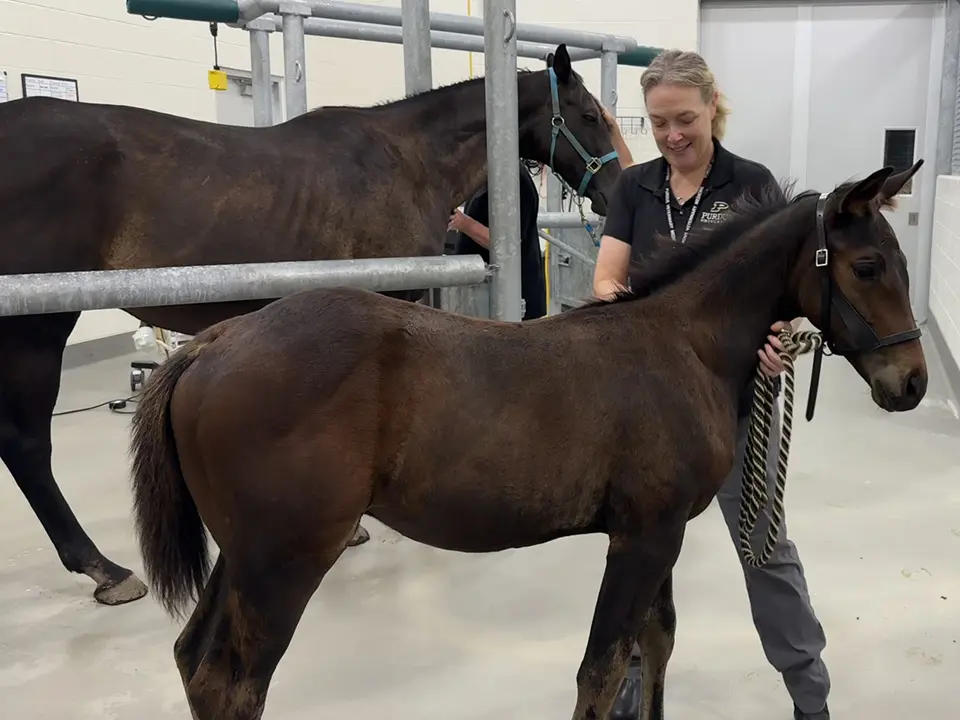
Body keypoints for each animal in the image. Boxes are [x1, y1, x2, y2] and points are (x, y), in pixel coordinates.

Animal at [0, 44, 621, 606]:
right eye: (590, 117)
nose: (614, 191)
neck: (409, 160)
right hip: (38, 325)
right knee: (27, 444)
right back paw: (104, 570)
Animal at [127, 157, 926, 719]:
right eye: (866, 266)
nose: (912, 383)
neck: (683, 345)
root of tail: (213, 344)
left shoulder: (660, 531)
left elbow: (657, 641)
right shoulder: (642, 538)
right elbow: (601, 670)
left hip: (245, 556)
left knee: (194, 662)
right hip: (283, 563)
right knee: (231, 683)